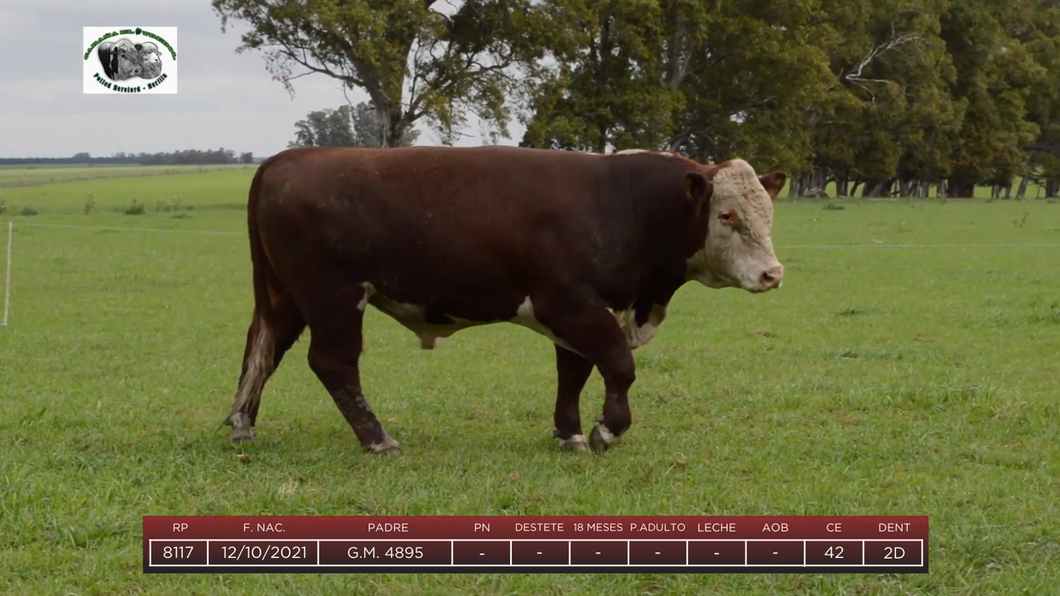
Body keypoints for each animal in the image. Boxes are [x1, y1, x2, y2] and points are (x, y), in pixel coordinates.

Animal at [221, 146, 788, 451]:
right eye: (727, 215)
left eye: (767, 211)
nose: (773, 273)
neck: (622, 203)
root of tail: (288, 158)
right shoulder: (572, 304)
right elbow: (618, 367)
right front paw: (606, 431)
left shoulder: (577, 316)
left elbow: (574, 372)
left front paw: (568, 433)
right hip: (334, 298)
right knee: (333, 364)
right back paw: (378, 439)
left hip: (284, 296)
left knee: (262, 351)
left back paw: (242, 425)